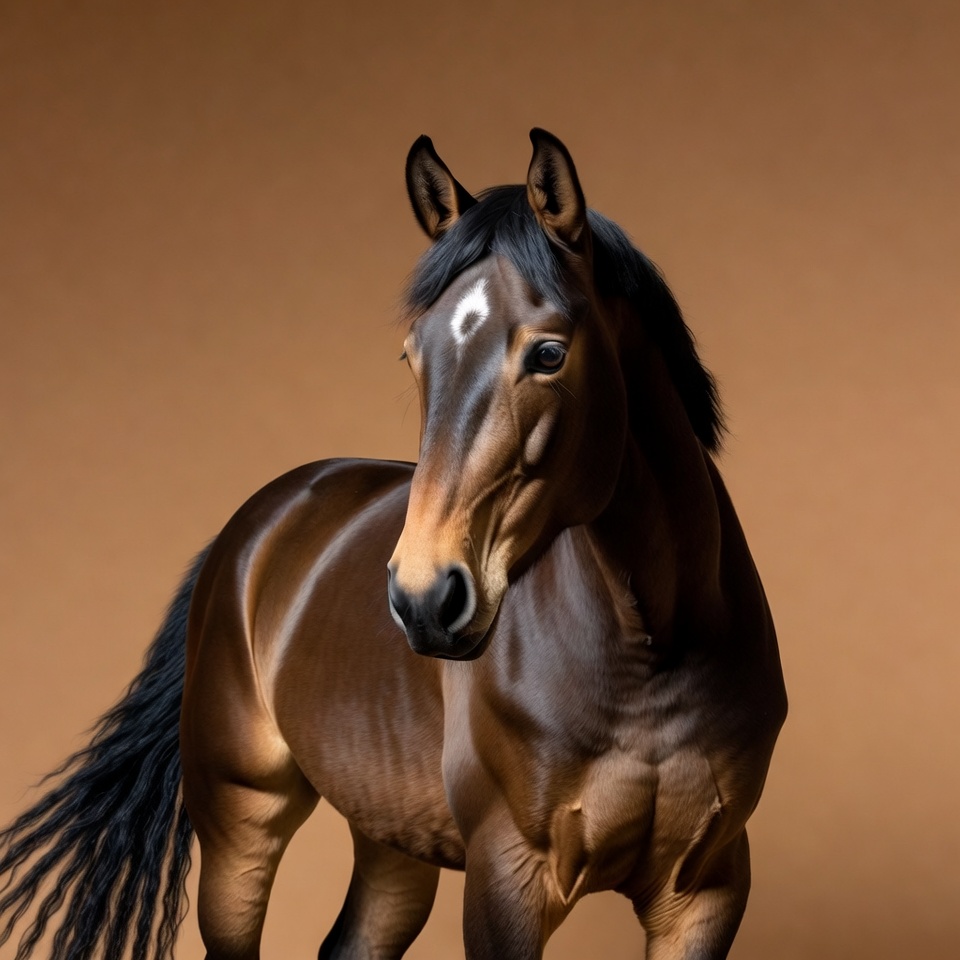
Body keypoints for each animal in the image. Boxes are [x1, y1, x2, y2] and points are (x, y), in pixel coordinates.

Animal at [0, 129, 787, 960]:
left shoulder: (703, 894)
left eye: (548, 354)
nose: (424, 599)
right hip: (241, 822)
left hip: (391, 836)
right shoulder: (507, 879)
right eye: (414, 355)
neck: (651, 656)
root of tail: (258, 522)